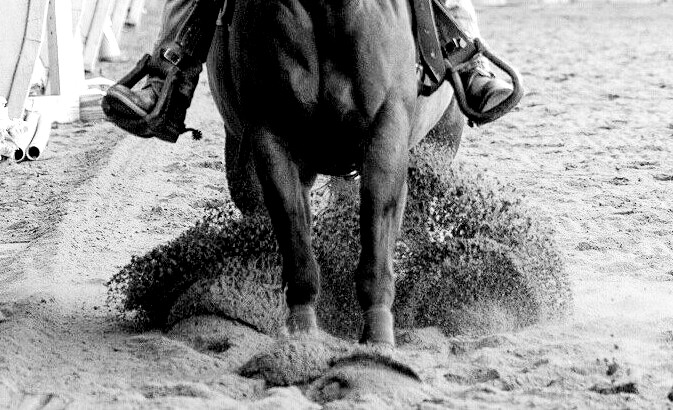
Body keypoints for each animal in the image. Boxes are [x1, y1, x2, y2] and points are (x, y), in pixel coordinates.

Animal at [205, 0, 466, 346]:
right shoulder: (270, 136)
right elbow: (291, 224)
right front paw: (302, 330)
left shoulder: (387, 130)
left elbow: (376, 218)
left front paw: (378, 333)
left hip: (443, 135)